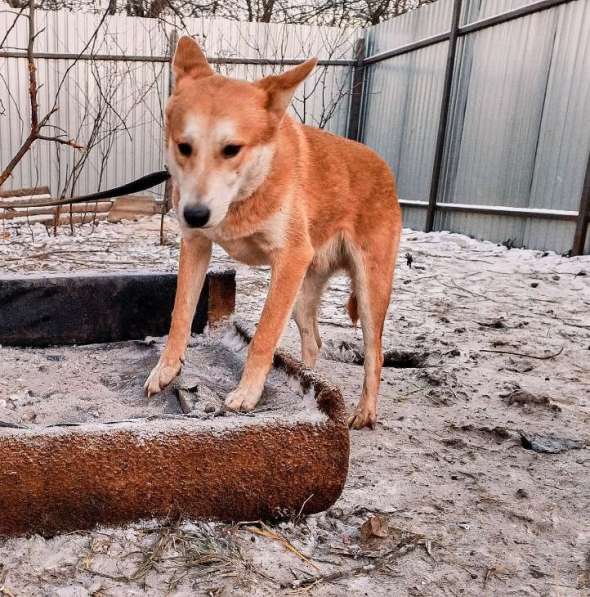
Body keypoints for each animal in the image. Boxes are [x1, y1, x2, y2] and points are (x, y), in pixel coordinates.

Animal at [145, 36, 402, 428]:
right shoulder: (197, 246)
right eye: (184, 147)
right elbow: (180, 316)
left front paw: (248, 393)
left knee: (375, 354)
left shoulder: (289, 258)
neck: (248, 191)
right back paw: (312, 380)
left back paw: (365, 411)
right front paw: (166, 369)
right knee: (313, 341)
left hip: (368, 290)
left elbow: (263, 336)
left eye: (232, 149)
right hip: (300, 294)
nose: (195, 214)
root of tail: (383, 165)